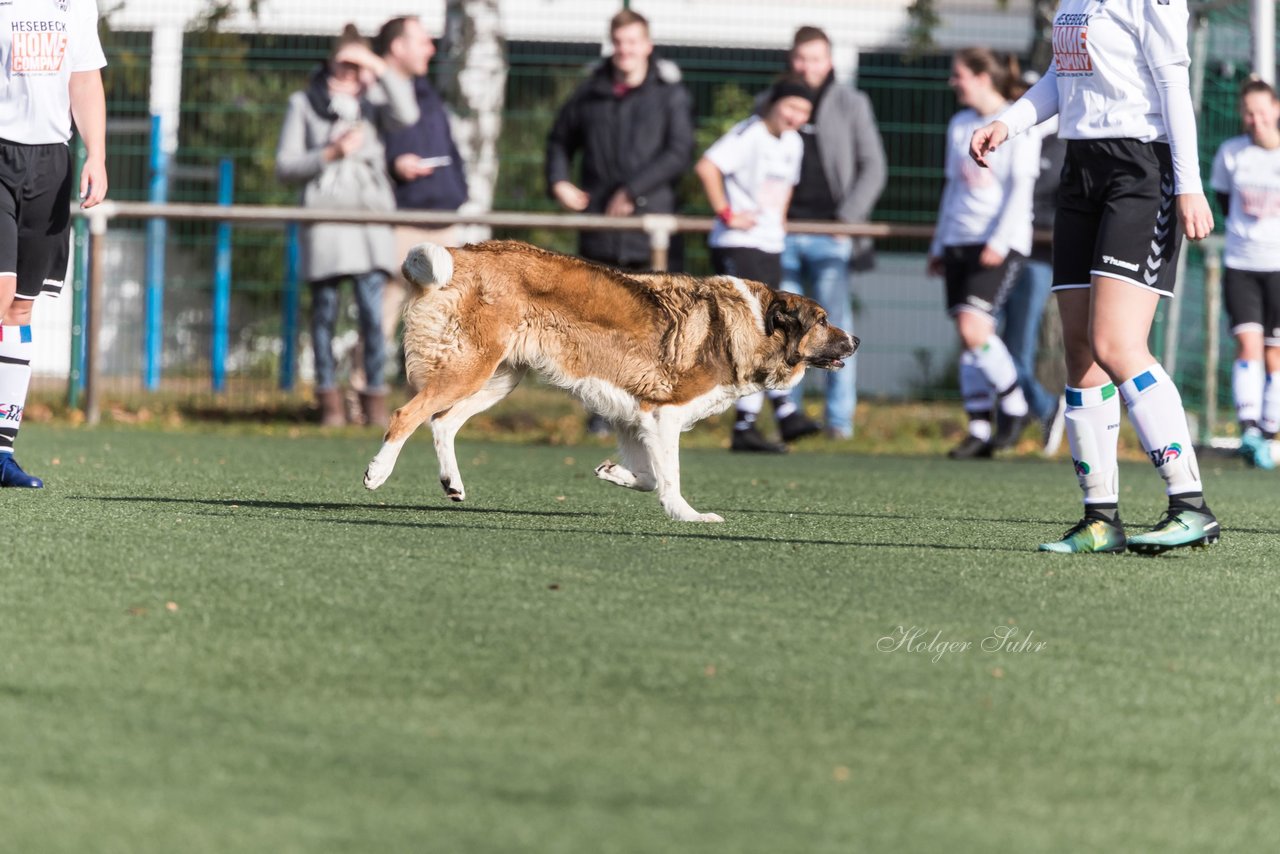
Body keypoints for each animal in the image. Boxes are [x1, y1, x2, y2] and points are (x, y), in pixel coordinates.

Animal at [363, 240, 860, 522]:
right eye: (822, 321)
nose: (855, 340)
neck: (751, 324)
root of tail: (463, 253)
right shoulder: (664, 414)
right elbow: (669, 477)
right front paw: (687, 516)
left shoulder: (635, 418)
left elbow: (649, 476)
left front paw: (612, 472)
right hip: (471, 368)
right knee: (406, 413)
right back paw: (378, 472)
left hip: (498, 378)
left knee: (442, 421)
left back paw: (452, 483)